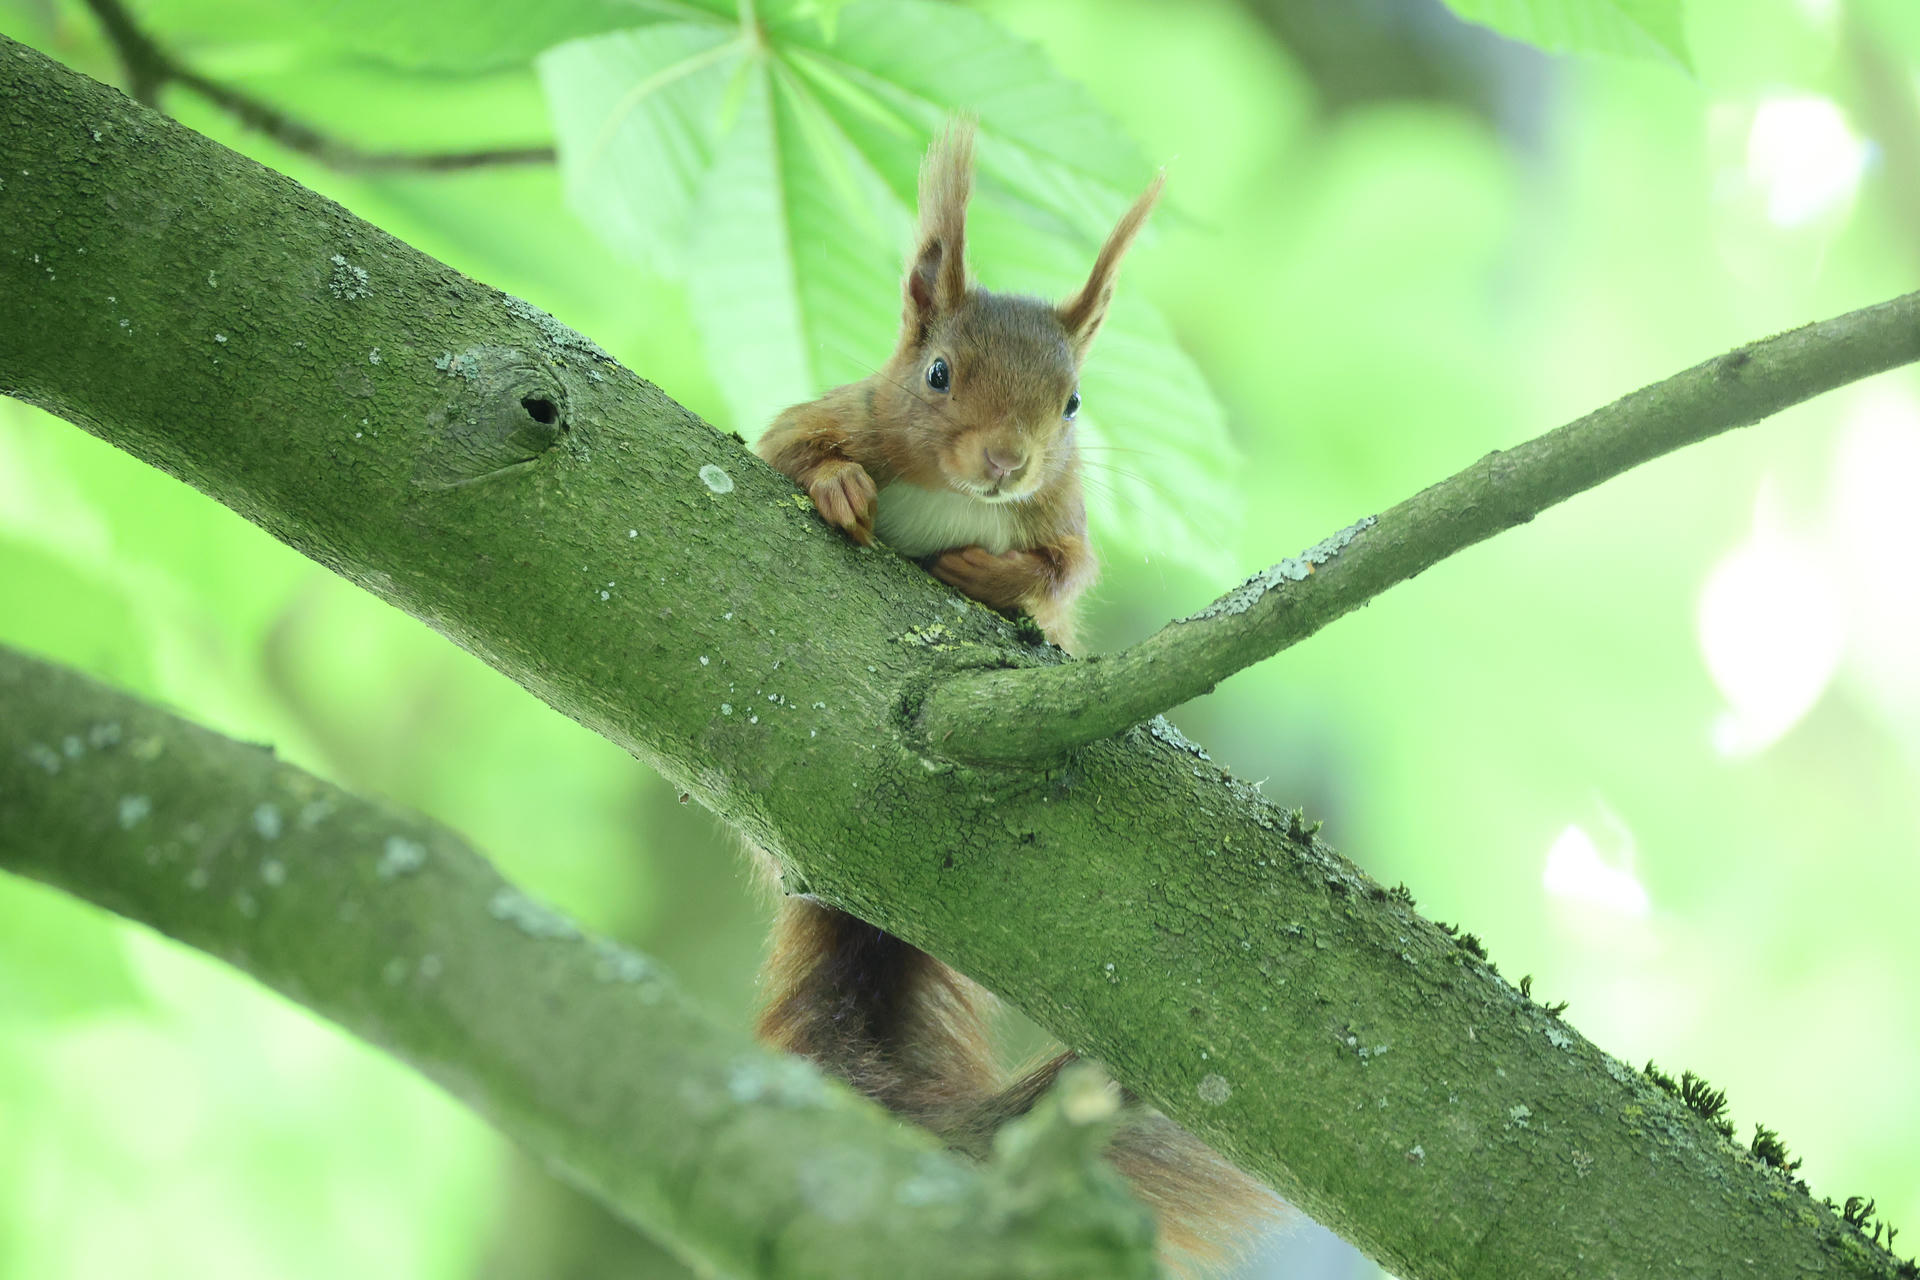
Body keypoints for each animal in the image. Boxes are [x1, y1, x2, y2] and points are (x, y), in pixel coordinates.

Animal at [752, 122, 1282, 1271]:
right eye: (938, 371)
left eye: (1073, 401)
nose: (1006, 460)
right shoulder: (828, 413)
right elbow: (788, 452)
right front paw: (839, 486)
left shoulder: (1064, 517)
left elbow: (1061, 576)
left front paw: (995, 578)